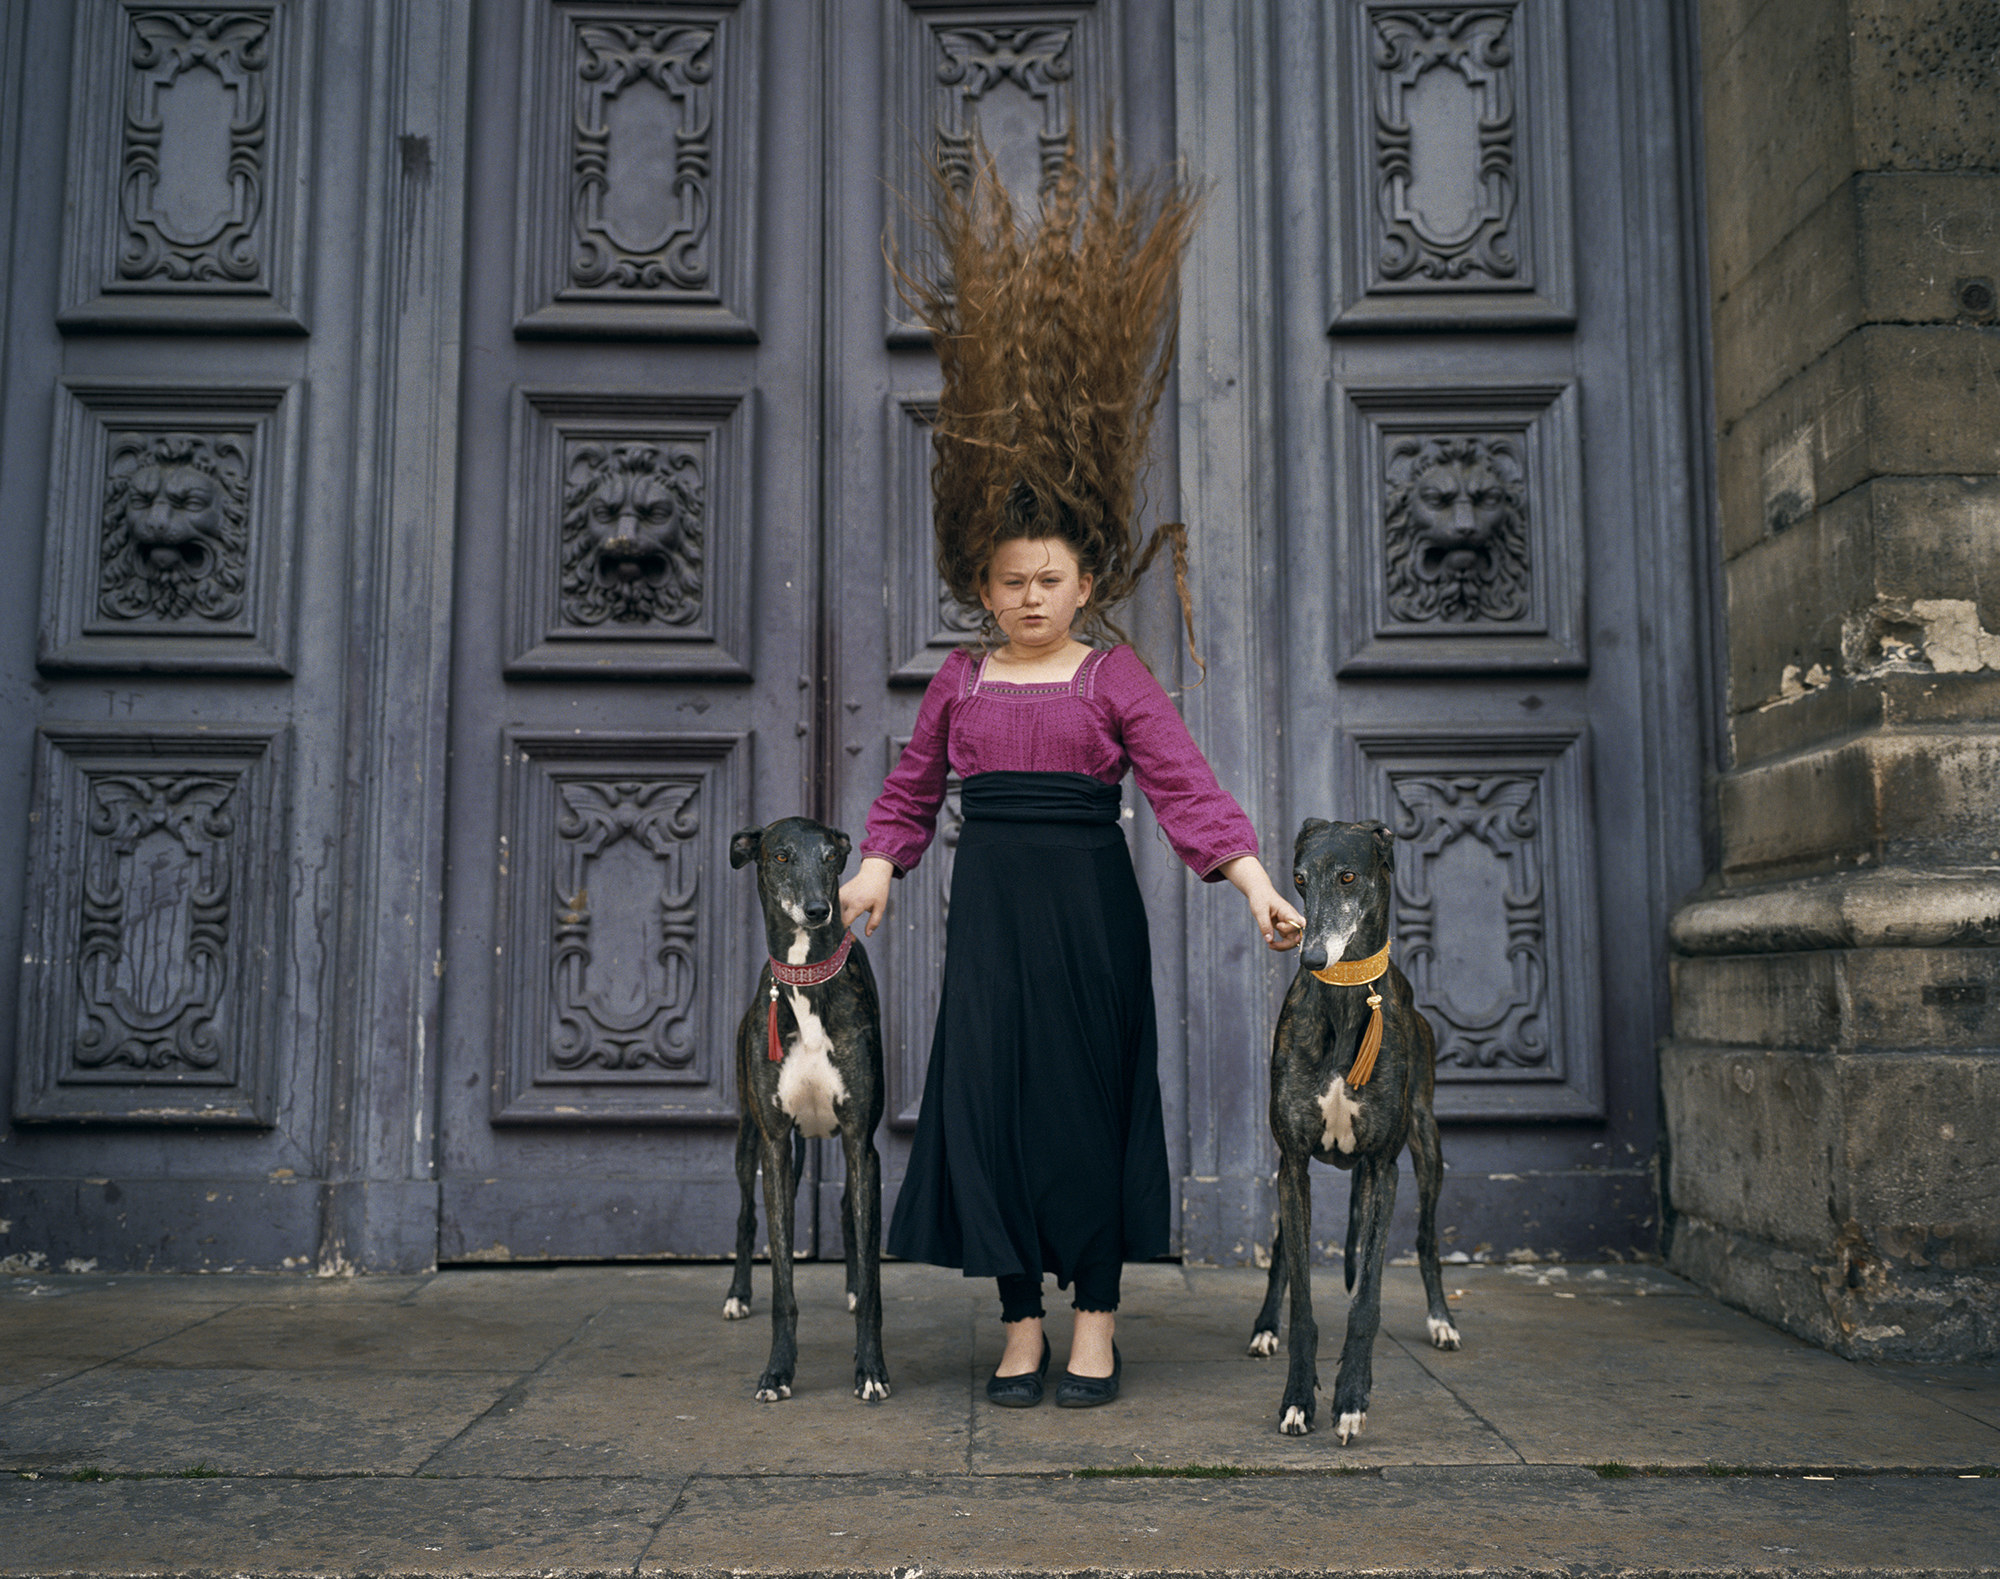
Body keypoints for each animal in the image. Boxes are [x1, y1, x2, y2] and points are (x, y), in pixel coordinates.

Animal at [724, 823, 888, 1407]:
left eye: (832, 856)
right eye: (780, 856)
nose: (819, 910)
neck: (804, 982)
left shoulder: (862, 1141)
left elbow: (872, 1275)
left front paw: (870, 1369)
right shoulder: (774, 1144)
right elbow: (783, 1286)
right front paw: (777, 1371)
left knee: (846, 1211)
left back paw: (851, 1286)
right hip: (752, 1140)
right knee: (747, 1215)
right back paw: (737, 1295)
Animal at [1248, 827, 1456, 1447]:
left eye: (1348, 877)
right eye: (1297, 879)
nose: (1312, 958)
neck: (1344, 999)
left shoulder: (1384, 1169)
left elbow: (1366, 1302)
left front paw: (1351, 1401)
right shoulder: (1292, 1162)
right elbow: (1303, 1297)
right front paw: (1297, 1398)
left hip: (1425, 1146)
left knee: (1426, 1238)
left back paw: (1442, 1320)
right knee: (1281, 1255)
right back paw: (1264, 1328)